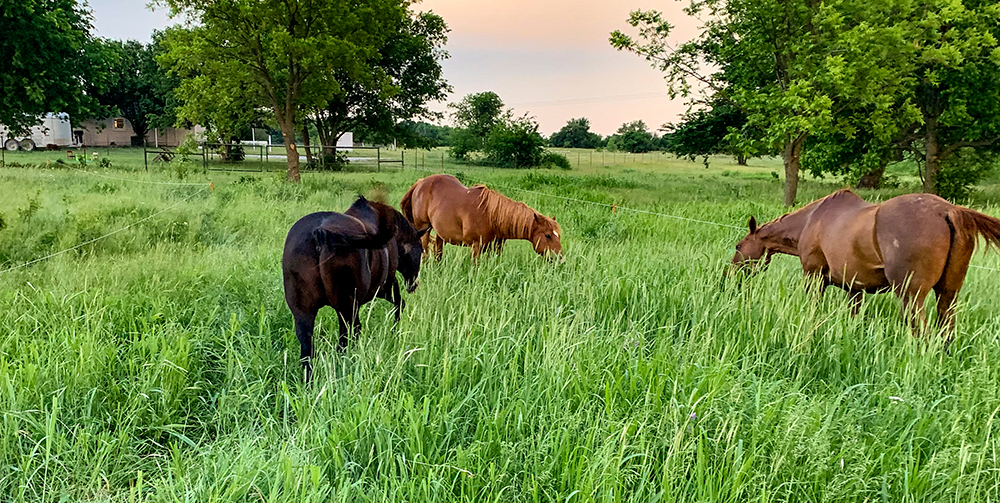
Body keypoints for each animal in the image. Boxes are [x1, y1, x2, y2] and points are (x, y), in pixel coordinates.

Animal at [280, 197, 428, 382]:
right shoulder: (386, 286)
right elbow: (399, 304)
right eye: (421, 250)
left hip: (305, 313)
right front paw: (395, 331)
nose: (414, 284)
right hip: (346, 308)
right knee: (345, 339)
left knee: (308, 351)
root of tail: (319, 234)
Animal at [402, 173, 568, 260]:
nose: (560, 259)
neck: (491, 216)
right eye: (547, 236)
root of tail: (420, 183)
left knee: (438, 249)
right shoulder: (477, 246)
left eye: (558, 236)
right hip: (424, 227)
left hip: (440, 233)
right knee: (425, 250)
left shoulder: (495, 246)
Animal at [732, 189, 1000, 338]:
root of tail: (947, 210)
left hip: (911, 297)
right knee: (946, 333)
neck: (810, 221)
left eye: (738, 246)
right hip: (948, 294)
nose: (730, 275)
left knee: (922, 334)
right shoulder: (855, 289)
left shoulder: (814, 278)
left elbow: (813, 310)